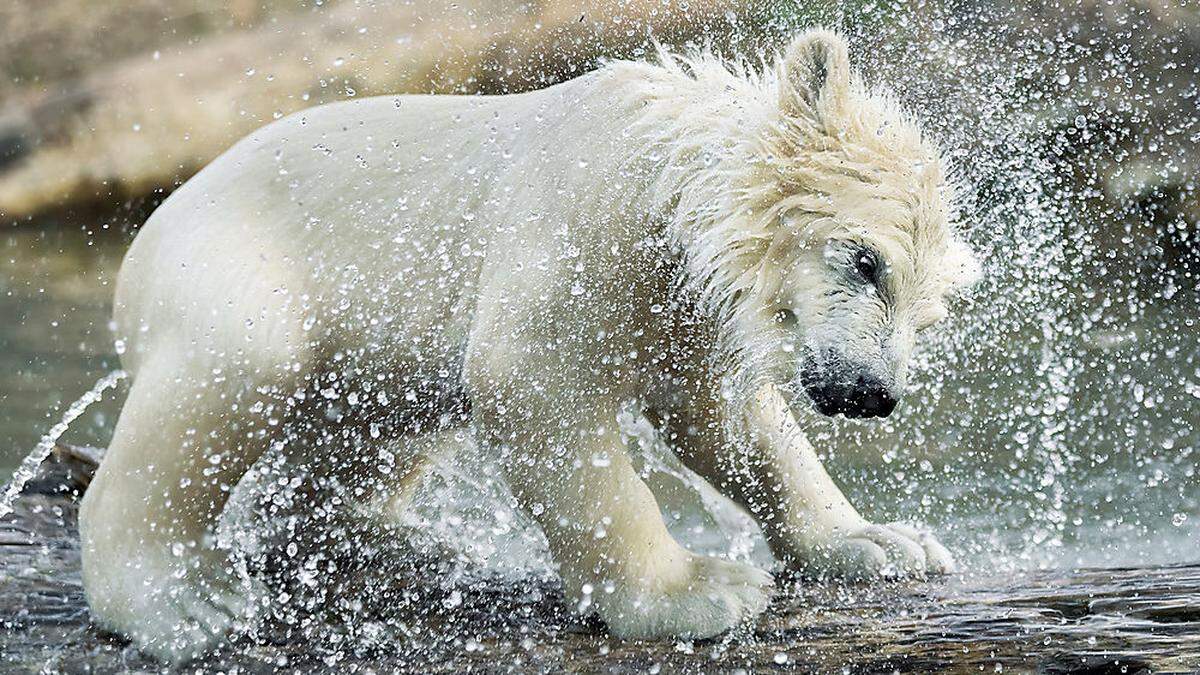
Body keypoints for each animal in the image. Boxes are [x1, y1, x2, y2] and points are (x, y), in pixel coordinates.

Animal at [75, 28, 974, 658]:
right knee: (233, 372)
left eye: (928, 313)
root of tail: (143, 244)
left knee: (375, 425)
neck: (661, 178)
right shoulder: (580, 227)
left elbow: (732, 423)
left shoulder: (683, 309)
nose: (874, 392)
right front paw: (700, 591)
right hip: (234, 264)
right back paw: (181, 600)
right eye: (867, 261)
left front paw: (883, 541)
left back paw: (393, 536)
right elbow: (533, 385)